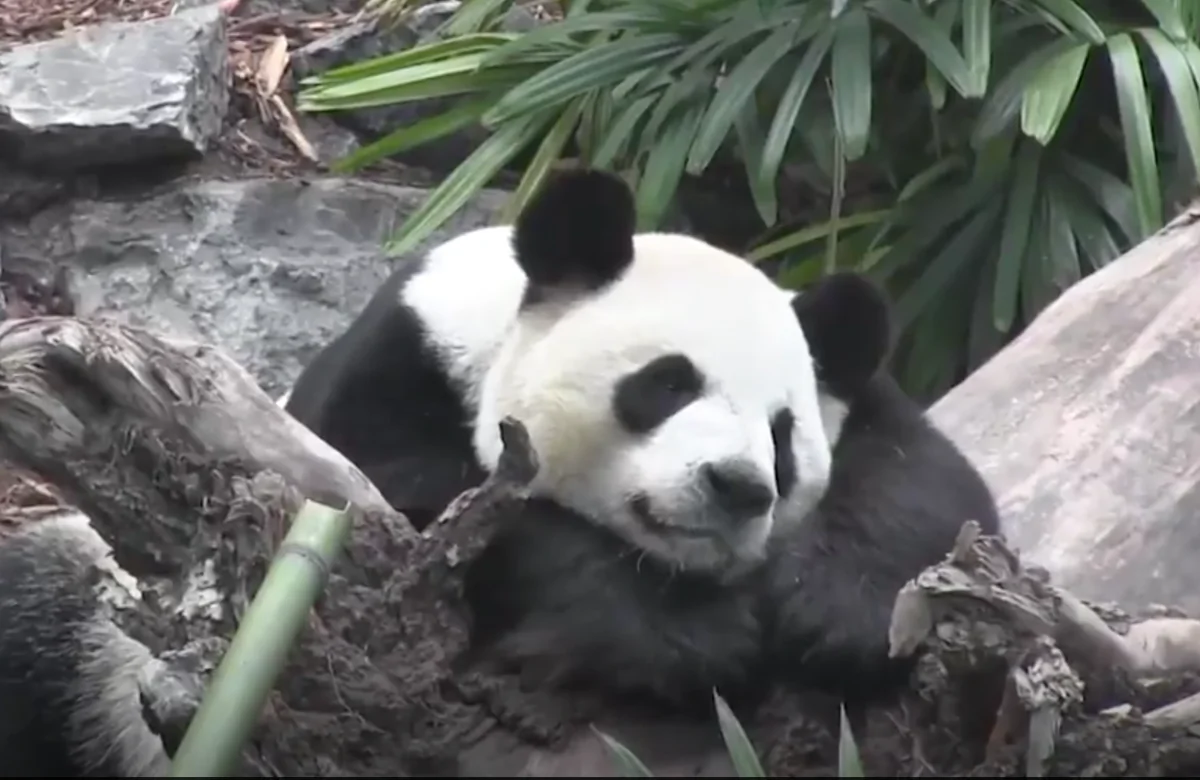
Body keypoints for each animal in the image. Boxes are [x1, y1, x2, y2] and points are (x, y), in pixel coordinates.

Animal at [284, 169, 1000, 746]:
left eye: (782, 437)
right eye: (668, 384)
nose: (738, 486)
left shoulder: (870, 406)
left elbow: (925, 485)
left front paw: (832, 612)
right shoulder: (396, 375)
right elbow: (418, 510)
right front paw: (686, 634)